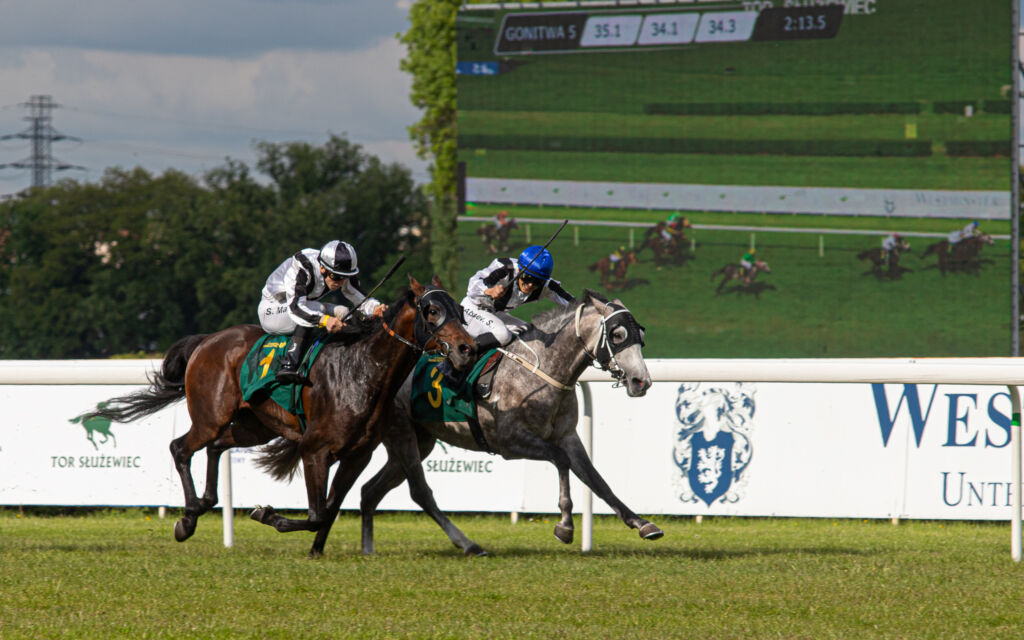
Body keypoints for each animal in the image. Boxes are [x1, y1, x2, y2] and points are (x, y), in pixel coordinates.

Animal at [77, 276, 476, 557]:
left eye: (459, 309)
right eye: (432, 312)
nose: (466, 349)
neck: (363, 369)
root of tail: (207, 341)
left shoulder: (357, 455)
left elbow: (330, 509)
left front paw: (316, 551)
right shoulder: (315, 449)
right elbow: (317, 513)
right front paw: (268, 515)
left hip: (254, 427)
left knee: (216, 447)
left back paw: (204, 503)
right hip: (210, 416)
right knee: (181, 448)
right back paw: (188, 518)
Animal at [347, 290, 660, 556]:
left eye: (642, 335)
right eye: (618, 334)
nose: (641, 381)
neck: (540, 369)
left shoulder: (568, 435)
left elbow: (596, 479)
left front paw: (642, 524)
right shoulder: (511, 442)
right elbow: (561, 460)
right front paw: (565, 526)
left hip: (419, 440)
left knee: (370, 491)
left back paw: (368, 548)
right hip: (402, 433)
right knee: (420, 492)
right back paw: (468, 544)